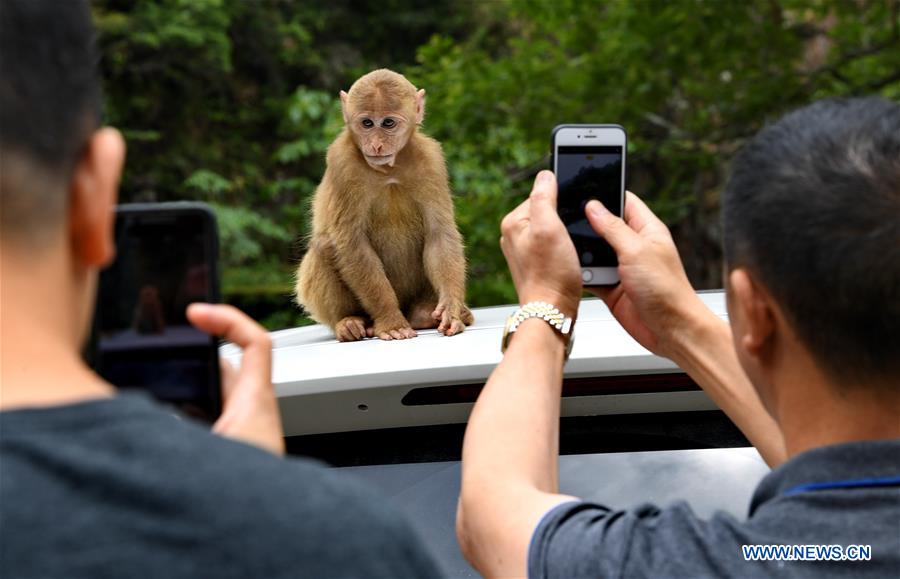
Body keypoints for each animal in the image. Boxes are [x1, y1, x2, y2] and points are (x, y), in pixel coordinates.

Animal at [298, 68, 478, 342]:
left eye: (388, 123)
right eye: (367, 123)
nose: (376, 144)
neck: (388, 169)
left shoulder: (431, 160)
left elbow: (439, 233)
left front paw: (451, 309)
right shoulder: (342, 163)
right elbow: (352, 242)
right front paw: (390, 320)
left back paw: (426, 315)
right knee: (324, 245)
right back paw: (349, 321)